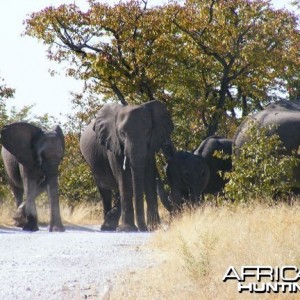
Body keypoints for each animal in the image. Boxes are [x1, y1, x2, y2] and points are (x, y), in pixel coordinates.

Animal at [79, 101, 173, 232]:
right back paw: (107, 227)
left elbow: (149, 176)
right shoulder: (113, 142)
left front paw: (154, 228)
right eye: (122, 134)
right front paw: (127, 229)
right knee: (105, 191)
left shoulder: (151, 144)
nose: (144, 229)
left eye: (148, 132)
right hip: (93, 165)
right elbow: (124, 179)